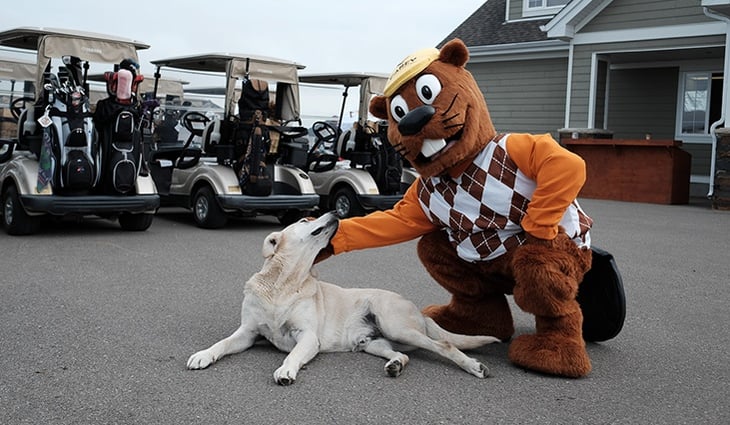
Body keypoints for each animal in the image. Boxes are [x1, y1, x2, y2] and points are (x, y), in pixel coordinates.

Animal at [185, 210, 498, 382]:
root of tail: (418, 311)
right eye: (304, 219)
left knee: (444, 344)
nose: (335, 212)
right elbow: (222, 344)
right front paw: (202, 355)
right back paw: (395, 365)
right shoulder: (247, 333)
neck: (284, 284)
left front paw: (286, 371)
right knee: (401, 354)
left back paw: (474, 367)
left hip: (395, 325)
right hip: (375, 343)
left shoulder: (308, 337)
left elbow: (293, 355)